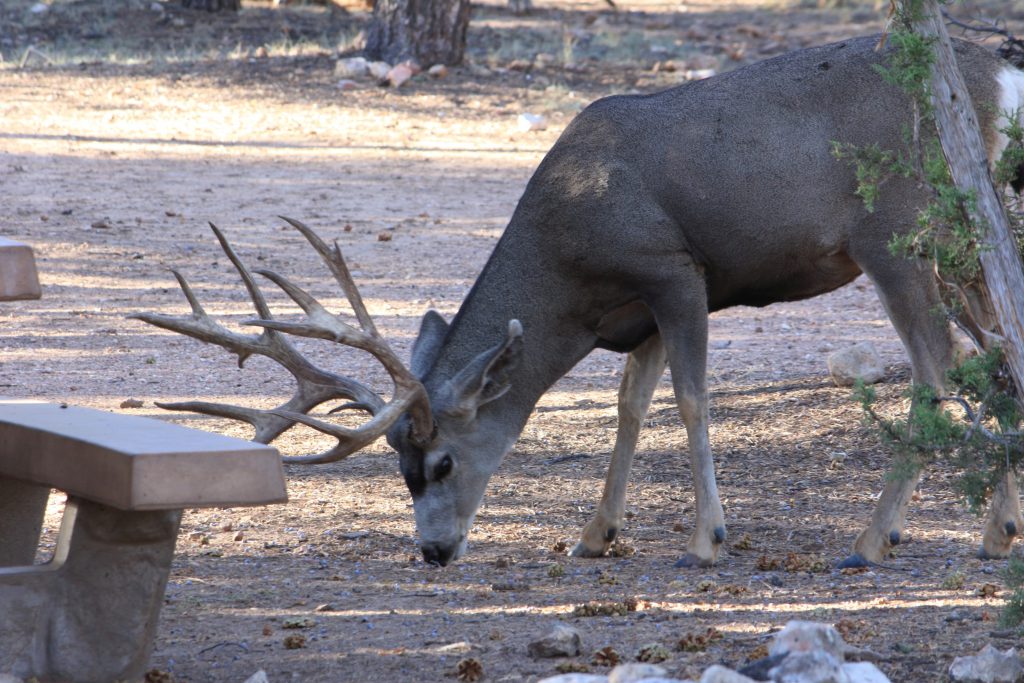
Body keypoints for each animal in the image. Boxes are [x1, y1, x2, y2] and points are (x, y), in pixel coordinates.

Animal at [135, 35, 1024, 569]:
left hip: (897, 231)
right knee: (997, 357)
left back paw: (872, 538)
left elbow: (691, 399)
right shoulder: (636, 310)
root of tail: (997, 78)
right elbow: (630, 406)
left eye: (442, 460)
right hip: (960, 245)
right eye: (400, 470)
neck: (569, 265)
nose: (433, 551)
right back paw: (994, 530)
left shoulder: (676, 269)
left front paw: (707, 537)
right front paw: (595, 532)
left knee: (939, 370)